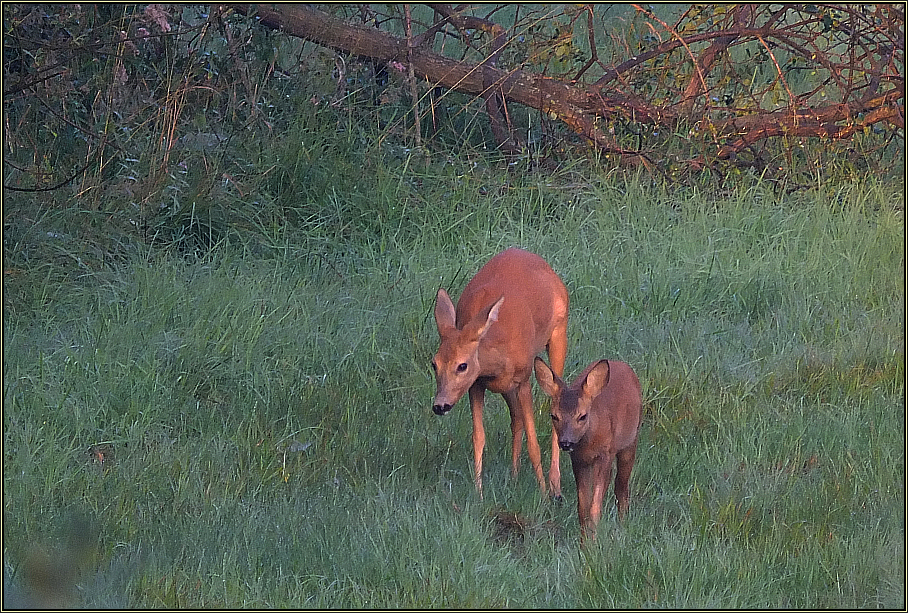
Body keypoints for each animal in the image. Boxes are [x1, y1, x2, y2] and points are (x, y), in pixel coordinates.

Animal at [432, 247, 568, 498]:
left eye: (462, 365)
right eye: (434, 364)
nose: (440, 405)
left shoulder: (524, 377)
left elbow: (533, 442)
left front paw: (543, 492)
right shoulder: (477, 384)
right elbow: (478, 436)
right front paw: (478, 492)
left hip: (558, 333)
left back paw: (555, 486)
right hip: (506, 386)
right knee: (516, 418)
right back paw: (514, 477)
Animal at [536, 354, 640, 540]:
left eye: (582, 416)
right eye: (554, 416)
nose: (566, 442)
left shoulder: (606, 453)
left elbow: (595, 507)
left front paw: (594, 540)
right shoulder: (578, 460)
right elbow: (582, 508)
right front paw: (584, 541)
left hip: (630, 441)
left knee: (621, 487)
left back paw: (623, 527)